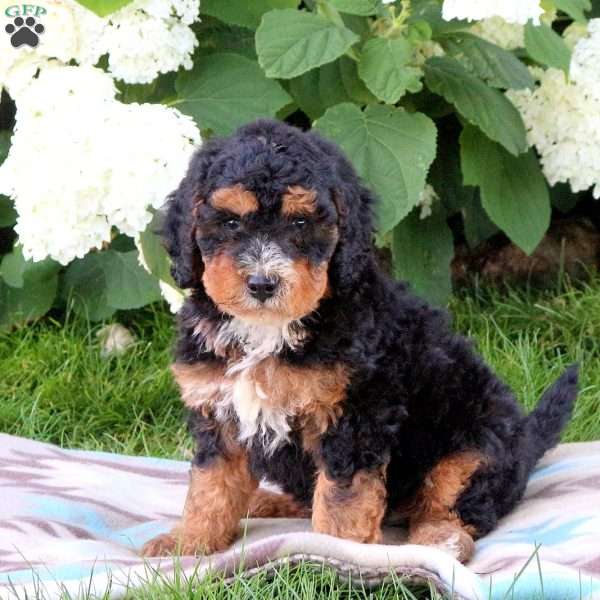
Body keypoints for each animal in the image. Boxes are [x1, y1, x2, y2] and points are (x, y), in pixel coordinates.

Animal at [141, 118, 576, 564]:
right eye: (230, 223)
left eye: (300, 223)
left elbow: (342, 497)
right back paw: (266, 501)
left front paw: (334, 554)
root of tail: (526, 443)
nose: (262, 284)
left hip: (475, 445)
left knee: (456, 504)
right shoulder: (219, 410)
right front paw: (188, 543)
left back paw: (439, 541)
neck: (270, 330)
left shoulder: (355, 413)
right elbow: (210, 484)